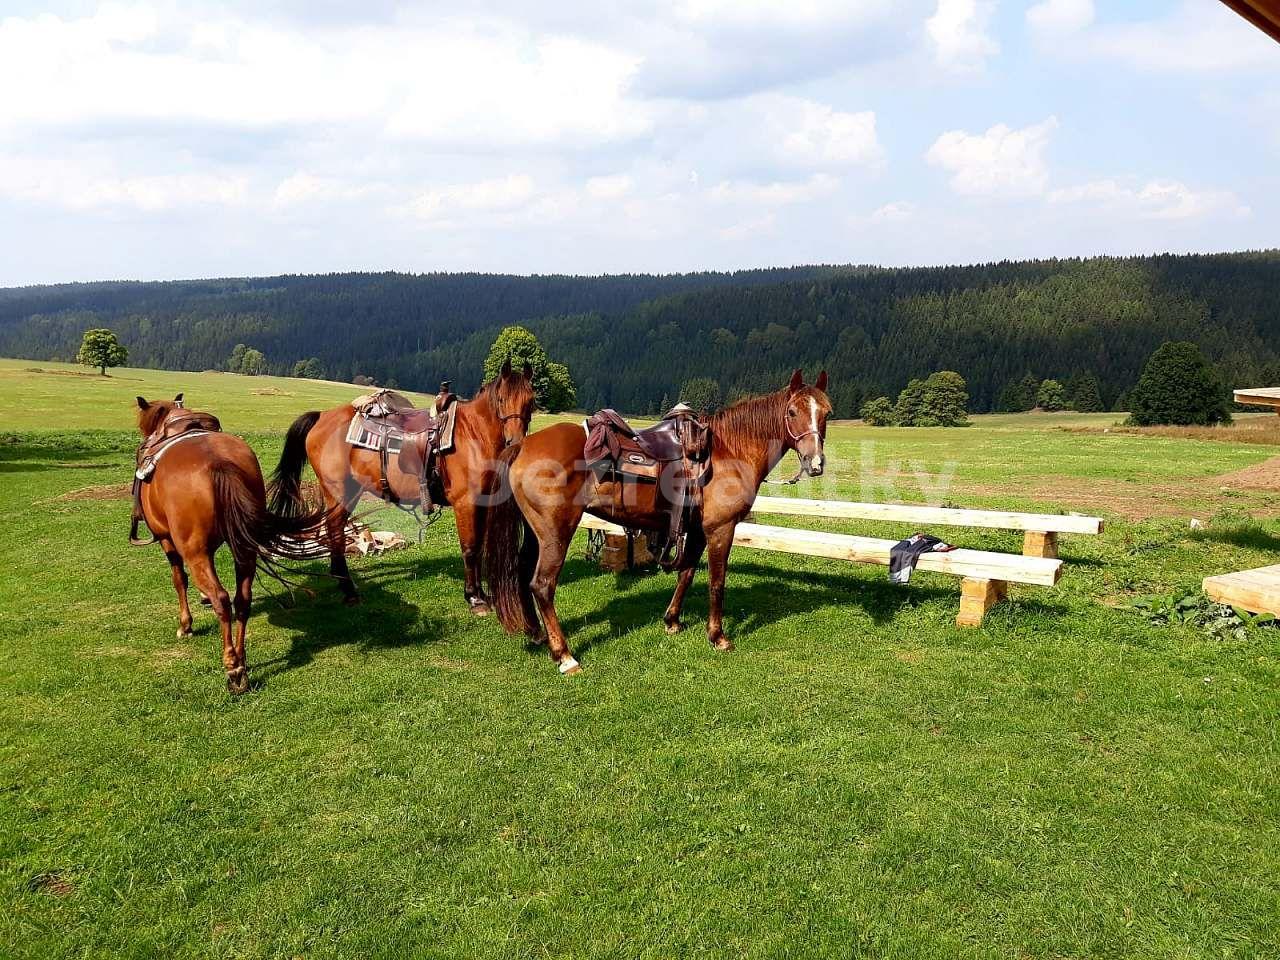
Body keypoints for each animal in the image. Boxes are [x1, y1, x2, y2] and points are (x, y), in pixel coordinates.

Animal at [132, 394, 332, 696]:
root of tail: (218, 463)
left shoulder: (167, 540)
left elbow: (179, 580)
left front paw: (185, 625)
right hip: (244, 548)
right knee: (242, 600)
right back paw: (241, 658)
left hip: (195, 550)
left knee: (222, 599)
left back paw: (232, 668)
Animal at [267, 360, 532, 609]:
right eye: (501, 399)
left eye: (531, 400)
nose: (515, 441)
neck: (473, 435)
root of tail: (322, 416)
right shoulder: (465, 503)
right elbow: (470, 547)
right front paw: (474, 598)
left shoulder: (485, 501)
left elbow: (480, 546)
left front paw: (481, 593)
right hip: (338, 490)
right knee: (334, 530)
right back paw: (349, 589)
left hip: (351, 490)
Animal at [481, 371, 829, 675]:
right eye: (793, 411)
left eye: (826, 412)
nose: (815, 463)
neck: (728, 451)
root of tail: (522, 446)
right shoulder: (721, 529)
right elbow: (717, 582)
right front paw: (718, 637)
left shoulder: (696, 530)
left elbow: (686, 572)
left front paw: (672, 621)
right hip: (556, 533)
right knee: (542, 585)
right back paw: (564, 656)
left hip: (535, 534)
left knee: (521, 573)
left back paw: (537, 635)